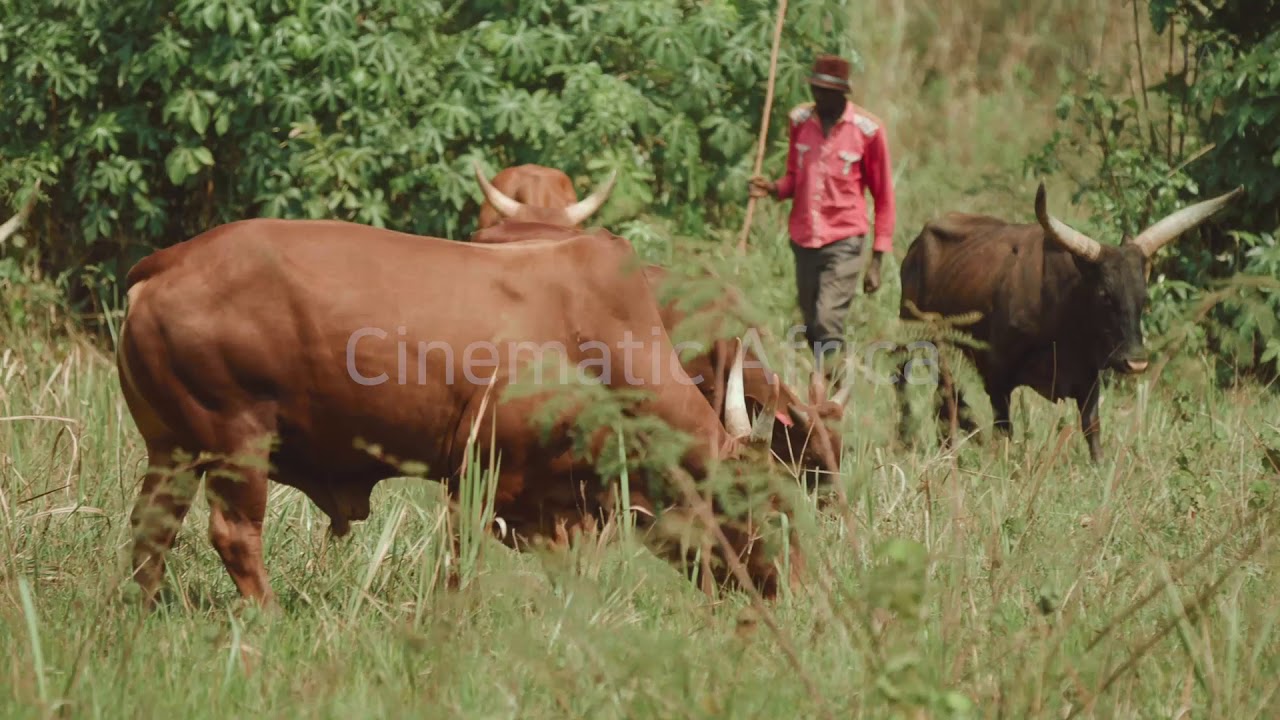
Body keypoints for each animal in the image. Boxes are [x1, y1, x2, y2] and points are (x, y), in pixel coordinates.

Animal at [116, 218, 802, 608]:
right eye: (762, 510)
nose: (784, 592)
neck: (601, 338)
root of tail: (167, 262)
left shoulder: (563, 506)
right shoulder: (476, 473)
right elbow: (460, 563)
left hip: (172, 450)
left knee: (150, 535)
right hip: (236, 439)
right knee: (233, 537)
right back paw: (268, 617)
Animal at [894, 181, 1244, 462]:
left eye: (1144, 297)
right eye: (1104, 295)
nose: (1136, 362)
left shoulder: (1088, 378)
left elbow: (1092, 429)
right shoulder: (997, 375)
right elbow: (1003, 430)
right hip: (911, 334)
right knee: (917, 386)